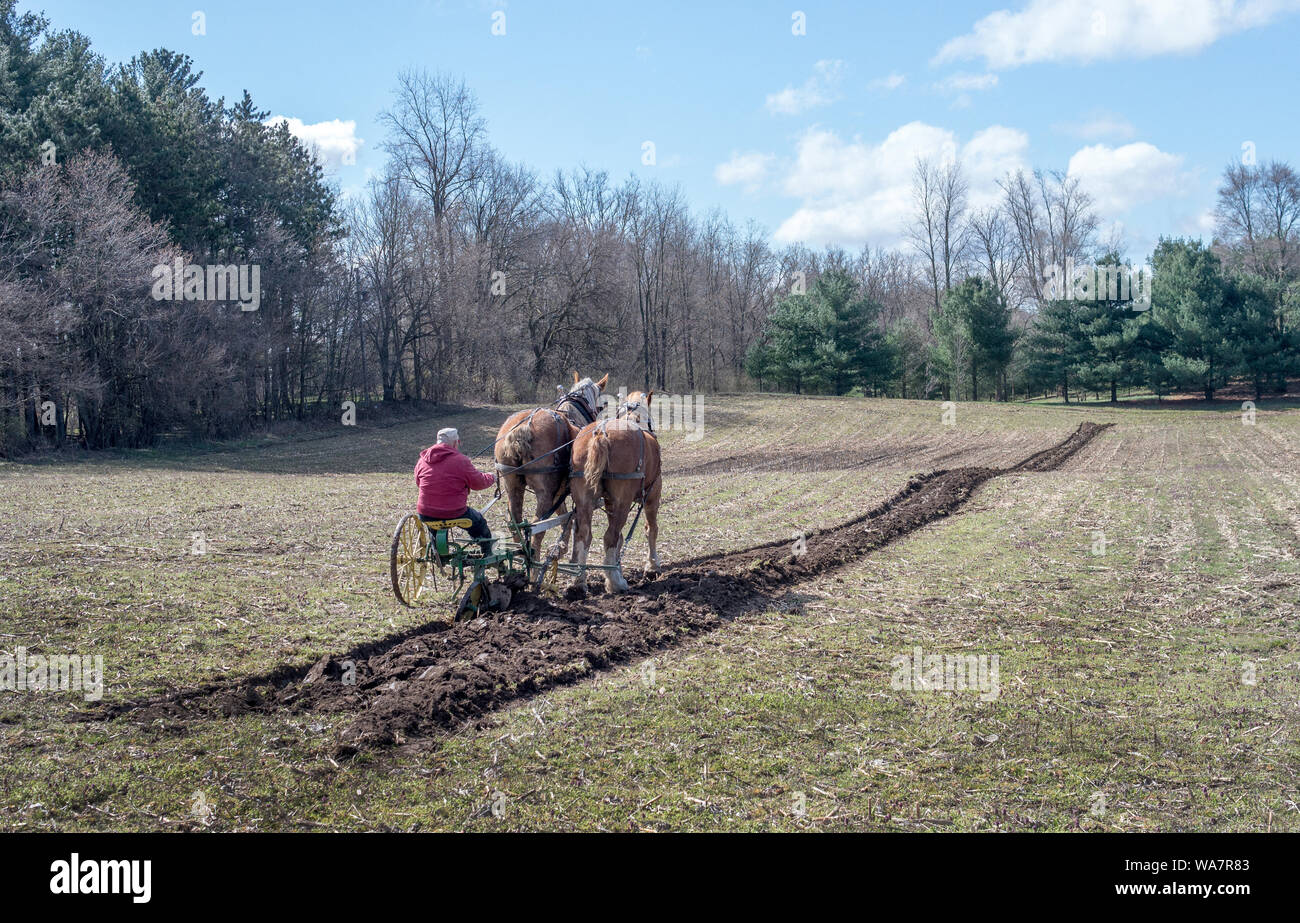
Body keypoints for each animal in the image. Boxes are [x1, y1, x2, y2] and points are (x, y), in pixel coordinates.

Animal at [491, 371, 608, 556]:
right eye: (601, 405)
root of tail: (523, 428)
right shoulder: (561, 492)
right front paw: (562, 547)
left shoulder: (559, 491)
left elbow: (563, 516)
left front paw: (561, 546)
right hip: (544, 493)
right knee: (536, 528)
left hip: (513, 485)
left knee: (515, 523)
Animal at [566, 387, 660, 592]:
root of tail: (601, 434)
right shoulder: (652, 495)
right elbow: (651, 529)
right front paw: (652, 566)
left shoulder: (609, 502)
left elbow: (620, 539)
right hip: (622, 503)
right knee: (610, 536)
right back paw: (616, 582)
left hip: (584, 499)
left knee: (583, 535)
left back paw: (578, 582)